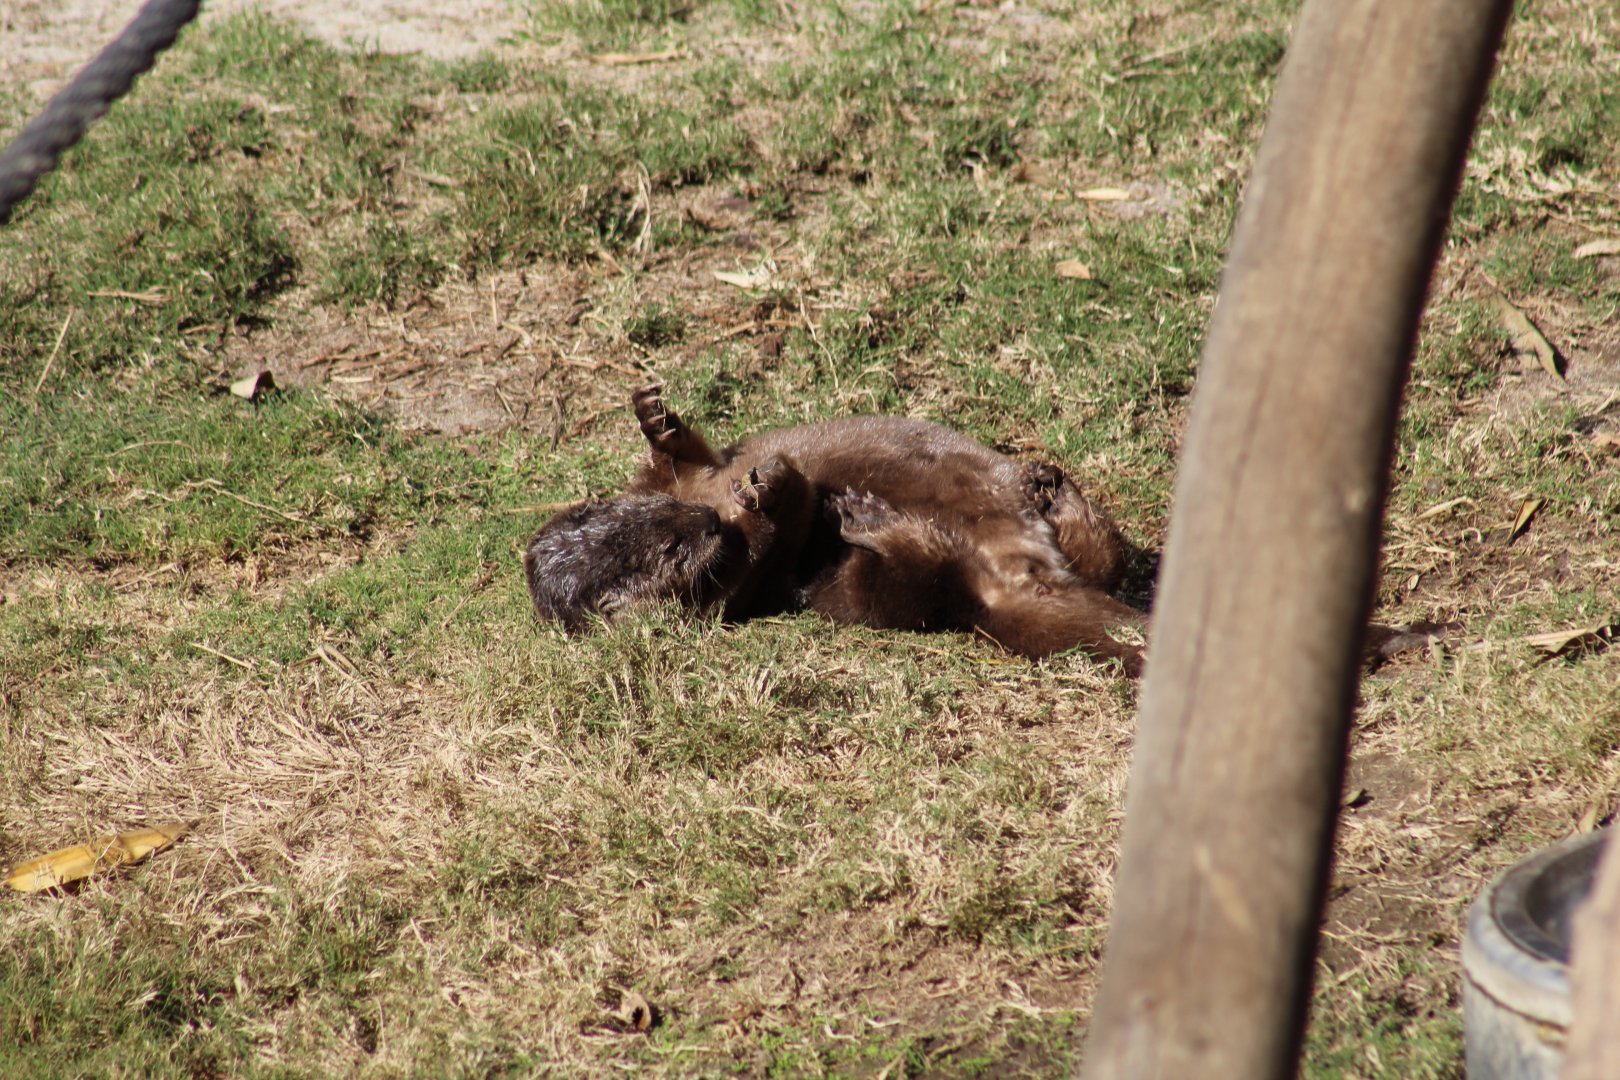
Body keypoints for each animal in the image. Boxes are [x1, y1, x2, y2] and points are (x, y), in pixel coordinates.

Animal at [525, 387, 1147, 672]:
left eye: (661, 515)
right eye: (675, 548)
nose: (708, 521)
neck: (711, 502)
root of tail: (1020, 576)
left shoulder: (692, 478)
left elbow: (686, 459)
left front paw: (655, 417)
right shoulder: (730, 598)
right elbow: (757, 553)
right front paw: (767, 495)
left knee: (1105, 557)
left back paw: (1050, 486)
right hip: (899, 596)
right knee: (920, 572)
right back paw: (865, 519)